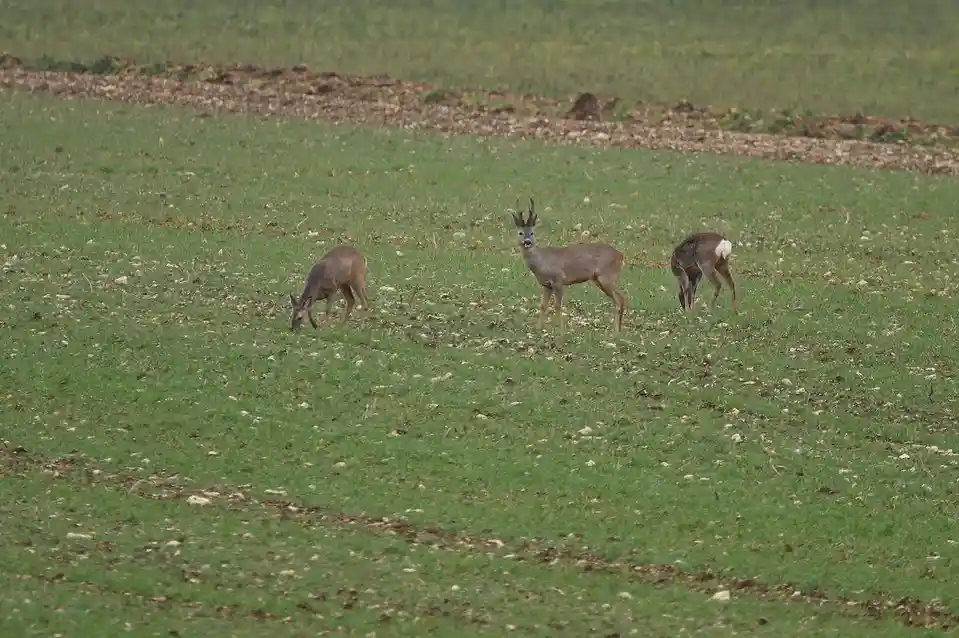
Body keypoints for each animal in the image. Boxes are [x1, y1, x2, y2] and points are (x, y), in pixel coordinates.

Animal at [511, 198, 626, 332]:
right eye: (520, 233)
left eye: (532, 233)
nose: (527, 242)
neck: (541, 261)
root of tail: (620, 255)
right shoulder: (546, 285)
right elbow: (543, 305)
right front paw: (538, 328)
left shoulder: (558, 279)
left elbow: (558, 305)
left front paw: (560, 330)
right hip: (599, 279)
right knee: (620, 299)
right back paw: (618, 330)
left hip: (607, 276)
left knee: (619, 300)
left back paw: (615, 332)